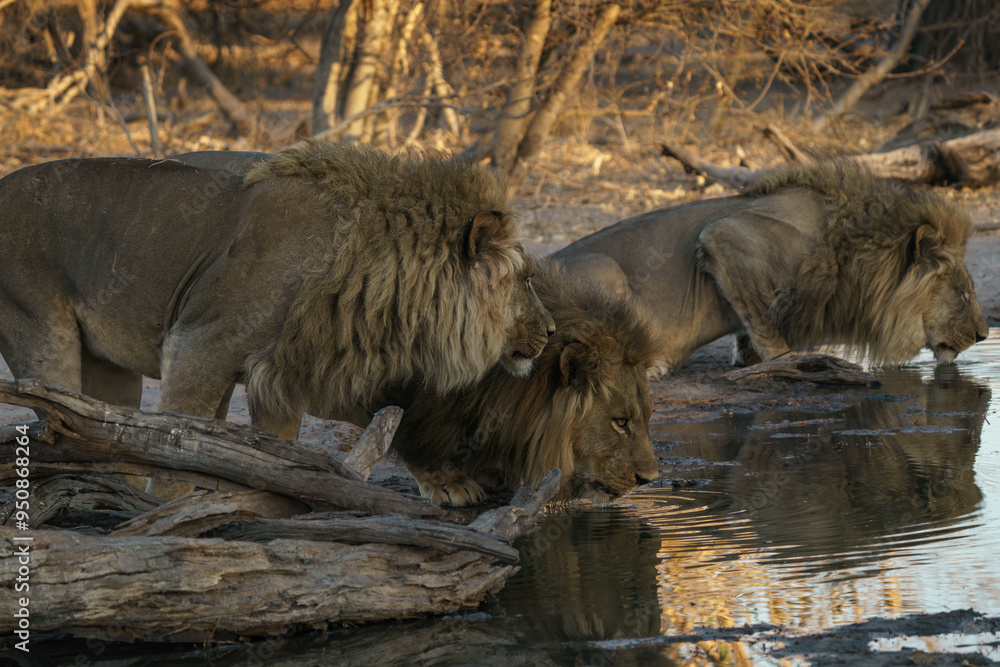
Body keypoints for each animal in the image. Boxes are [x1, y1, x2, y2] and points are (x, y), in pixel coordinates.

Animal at [0, 141, 554, 439]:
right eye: (526, 278)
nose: (551, 329)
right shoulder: (198, 343)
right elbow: (178, 447)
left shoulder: (283, 377)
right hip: (40, 335)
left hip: (108, 367)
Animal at [554, 161, 988, 375]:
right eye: (963, 292)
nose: (985, 335)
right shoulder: (726, 236)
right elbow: (764, 320)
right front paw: (787, 361)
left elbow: (749, 323)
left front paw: (746, 355)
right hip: (603, 269)